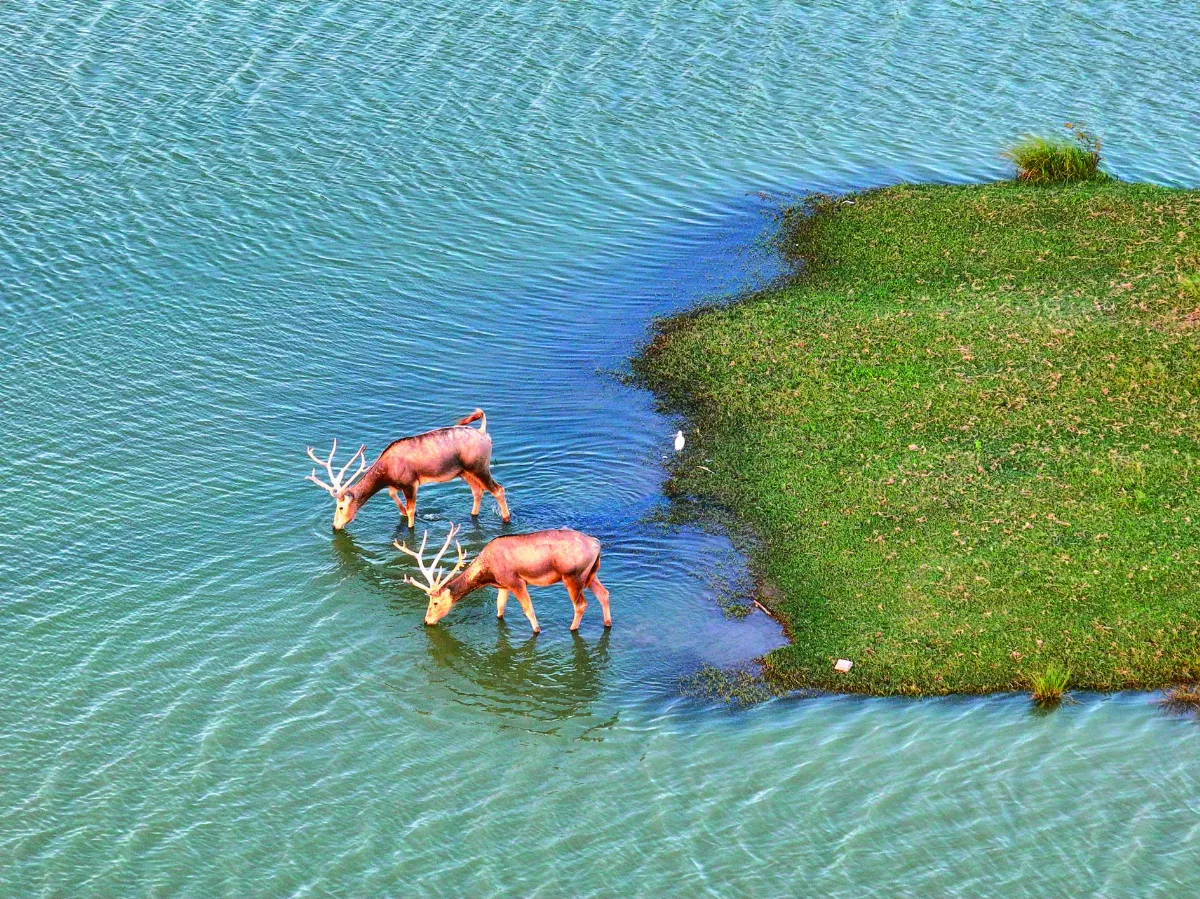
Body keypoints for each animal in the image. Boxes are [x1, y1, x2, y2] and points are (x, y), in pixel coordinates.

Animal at [305, 409, 510, 531]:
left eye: (340, 507)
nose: (334, 526)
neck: (385, 473)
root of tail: (484, 433)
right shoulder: (396, 484)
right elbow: (393, 496)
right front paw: (403, 511)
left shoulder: (410, 483)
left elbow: (411, 511)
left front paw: (411, 522)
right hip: (464, 472)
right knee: (478, 491)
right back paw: (473, 514)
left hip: (479, 467)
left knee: (498, 489)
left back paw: (506, 518)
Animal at [397, 524, 611, 634]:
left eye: (435, 602)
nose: (427, 621)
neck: (487, 573)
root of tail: (597, 543)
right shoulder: (503, 585)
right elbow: (500, 608)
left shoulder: (515, 581)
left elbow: (528, 610)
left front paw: (537, 630)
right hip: (591, 574)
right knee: (604, 593)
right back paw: (607, 623)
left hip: (572, 576)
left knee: (581, 604)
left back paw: (572, 629)